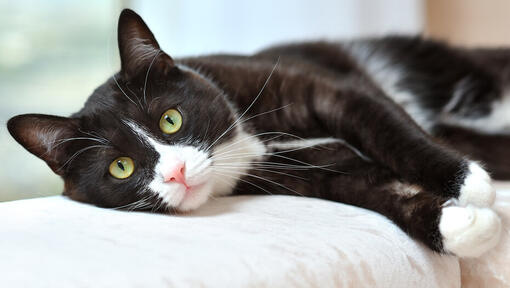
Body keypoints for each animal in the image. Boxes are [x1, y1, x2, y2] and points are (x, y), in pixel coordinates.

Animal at [5, 9, 508, 258]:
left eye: (171, 119)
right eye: (121, 167)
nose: (177, 173)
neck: (247, 144)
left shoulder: (336, 92)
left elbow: (391, 134)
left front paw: (468, 184)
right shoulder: (309, 173)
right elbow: (373, 190)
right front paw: (459, 228)